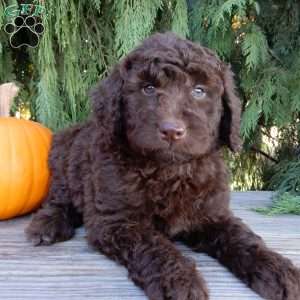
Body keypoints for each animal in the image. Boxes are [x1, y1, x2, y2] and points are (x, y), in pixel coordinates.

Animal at [25, 31, 300, 298]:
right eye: (148, 88)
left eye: (199, 91)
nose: (172, 131)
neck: (169, 170)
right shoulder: (118, 220)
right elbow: (153, 247)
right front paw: (179, 281)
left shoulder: (211, 213)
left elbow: (241, 237)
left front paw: (277, 269)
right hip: (64, 157)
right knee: (60, 198)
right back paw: (47, 225)